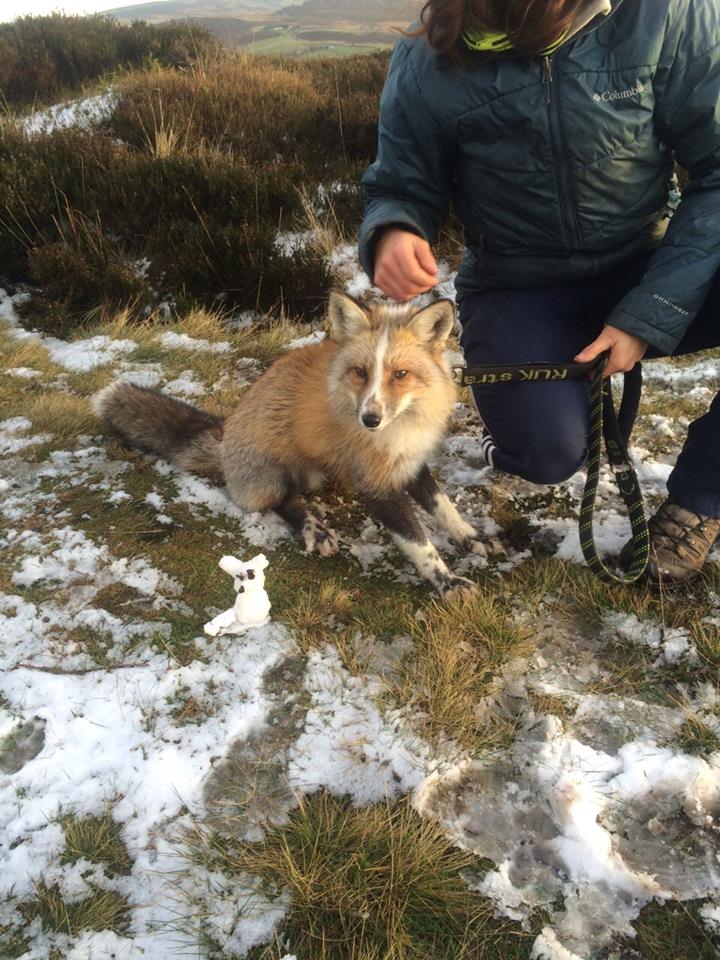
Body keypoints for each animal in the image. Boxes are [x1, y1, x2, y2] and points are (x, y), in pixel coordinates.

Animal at [93, 288, 492, 596]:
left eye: (401, 374)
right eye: (360, 372)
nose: (370, 419)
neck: (401, 429)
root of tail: (225, 433)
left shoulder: (411, 462)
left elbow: (443, 508)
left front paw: (470, 538)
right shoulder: (376, 484)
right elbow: (420, 545)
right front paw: (448, 582)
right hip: (274, 475)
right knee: (284, 502)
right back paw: (314, 529)